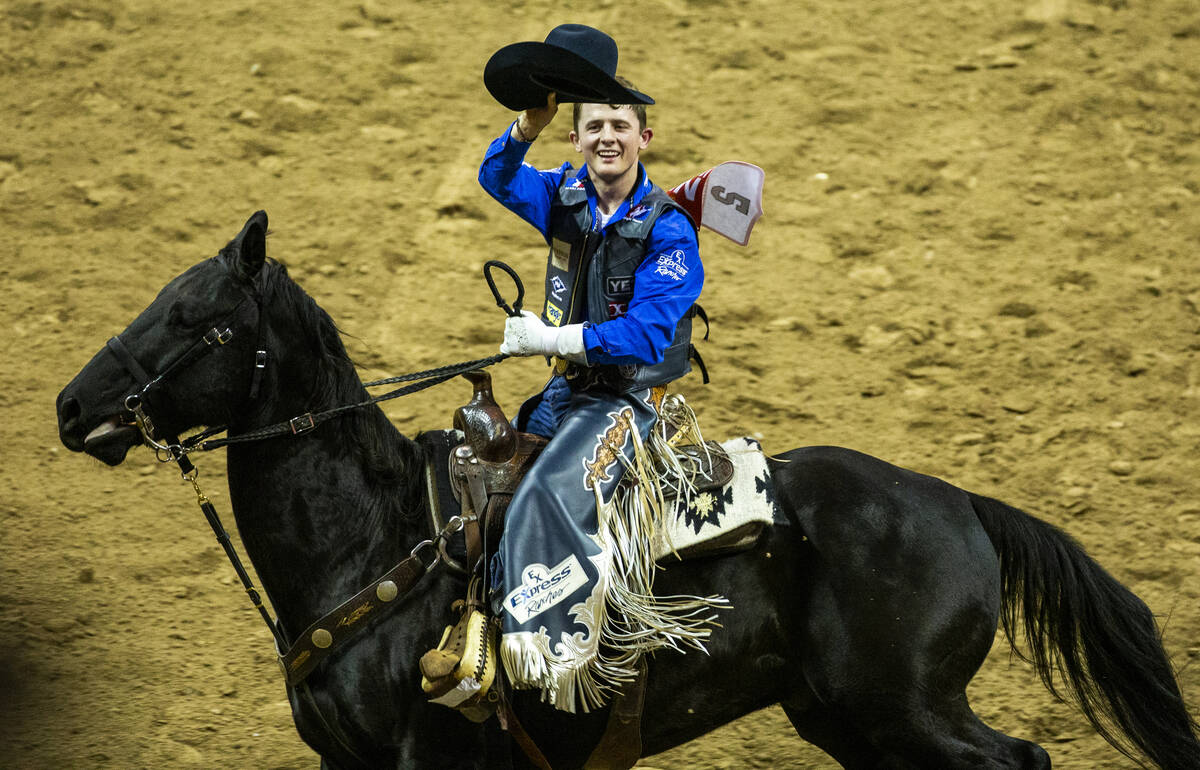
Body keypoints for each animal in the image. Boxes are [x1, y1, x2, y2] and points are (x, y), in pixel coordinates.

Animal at [56, 211, 1200, 767]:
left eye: (203, 321)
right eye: (161, 296)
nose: (72, 407)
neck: (376, 542)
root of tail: (962, 503)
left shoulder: (429, 754)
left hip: (911, 708)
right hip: (852, 719)